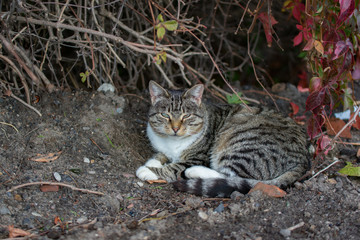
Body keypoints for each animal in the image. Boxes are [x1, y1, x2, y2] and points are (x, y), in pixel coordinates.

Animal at [135, 80, 310, 197]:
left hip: (243, 146)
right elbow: (161, 154)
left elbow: (174, 167)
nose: (176, 128)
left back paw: (194, 172)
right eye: (165, 115)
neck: (173, 143)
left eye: (187, 116)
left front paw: (148, 170)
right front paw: (154, 161)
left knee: (230, 176)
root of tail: (304, 158)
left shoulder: (198, 157)